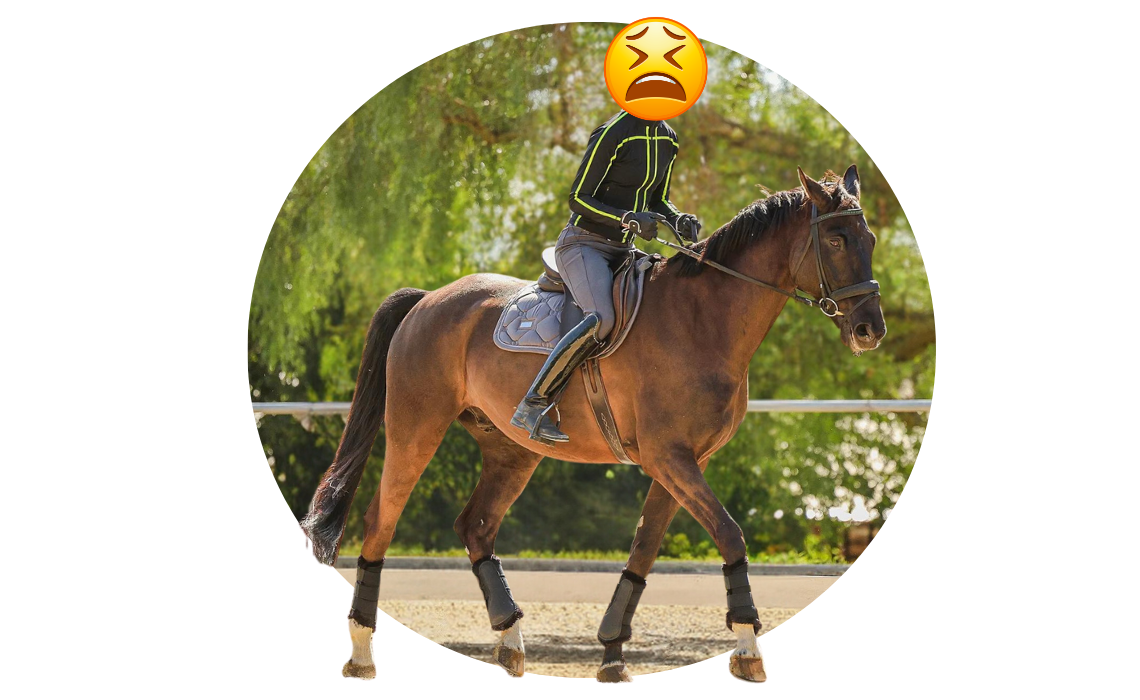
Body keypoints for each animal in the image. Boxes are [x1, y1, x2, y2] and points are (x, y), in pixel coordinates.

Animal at [299, 165, 887, 683]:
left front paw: (612, 654)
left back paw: (510, 643)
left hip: (512, 450)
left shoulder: (680, 463)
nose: (869, 330)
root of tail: (429, 300)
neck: (703, 318)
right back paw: (362, 652)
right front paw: (747, 648)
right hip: (416, 428)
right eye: (836, 240)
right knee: (381, 521)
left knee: (476, 526)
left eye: (871, 238)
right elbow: (729, 534)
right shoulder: (669, 457)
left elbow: (643, 553)